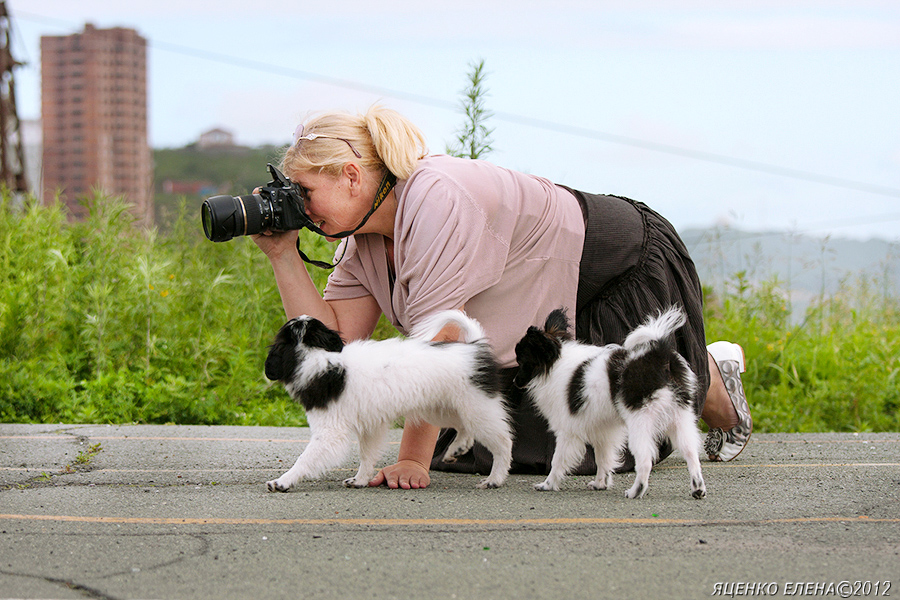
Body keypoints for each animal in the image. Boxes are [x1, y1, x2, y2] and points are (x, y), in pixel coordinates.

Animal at [264, 312, 510, 490]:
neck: (317, 357)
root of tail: (475, 347)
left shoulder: (329, 433)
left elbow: (305, 459)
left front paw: (282, 481)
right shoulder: (370, 427)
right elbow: (367, 456)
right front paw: (360, 480)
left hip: (476, 408)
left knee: (503, 443)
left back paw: (494, 479)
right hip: (445, 409)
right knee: (464, 427)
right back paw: (457, 449)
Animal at [516, 308, 708, 500]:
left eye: (522, 362)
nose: (514, 380)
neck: (555, 364)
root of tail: (659, 355)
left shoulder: (567, 431)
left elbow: (557, 460)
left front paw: (547, 484)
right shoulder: (603, 432)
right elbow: (603, 459)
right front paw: (600, 484)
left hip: (641, 421)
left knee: (645, 460)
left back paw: (635, 491)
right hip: (680, 417)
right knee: (691, 452)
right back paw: (698, 489)